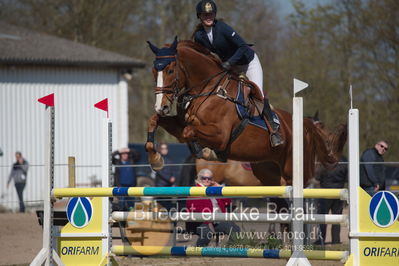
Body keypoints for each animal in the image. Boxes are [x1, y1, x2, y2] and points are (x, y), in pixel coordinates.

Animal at [147, 37, 340, 186]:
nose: (161, 107)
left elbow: (189, 130)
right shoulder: (179, 125)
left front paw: (207, 152)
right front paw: (156, 160)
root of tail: (306, 126)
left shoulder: (221, 135)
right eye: (154, 71)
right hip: (267, 171)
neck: (207, 89)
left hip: (295, 169)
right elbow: (156, 121)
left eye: (170, 70)